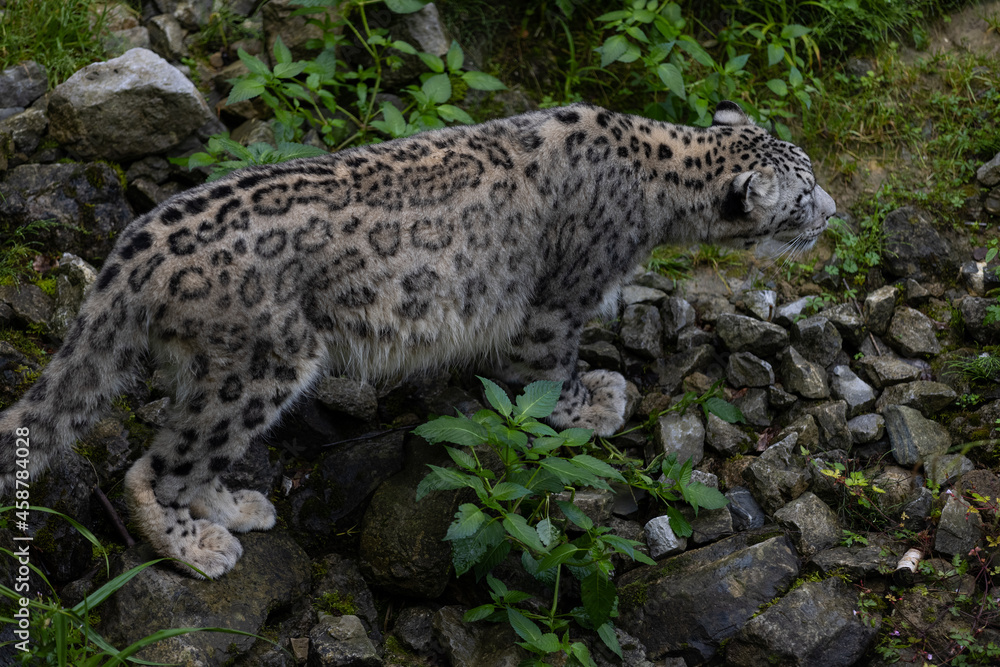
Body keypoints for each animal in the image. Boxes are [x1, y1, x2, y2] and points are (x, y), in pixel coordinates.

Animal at [0, 101, 835, 578]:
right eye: (801, 196)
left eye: (811, 171)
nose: (833, 211)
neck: (662, 180)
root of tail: (136, 243)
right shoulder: (556, 304)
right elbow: (544, 373)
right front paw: (595, 400)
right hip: (263, 361)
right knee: (158, 463)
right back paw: (197, 546)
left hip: (225, 374)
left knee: (193, 444)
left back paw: (236, 507)